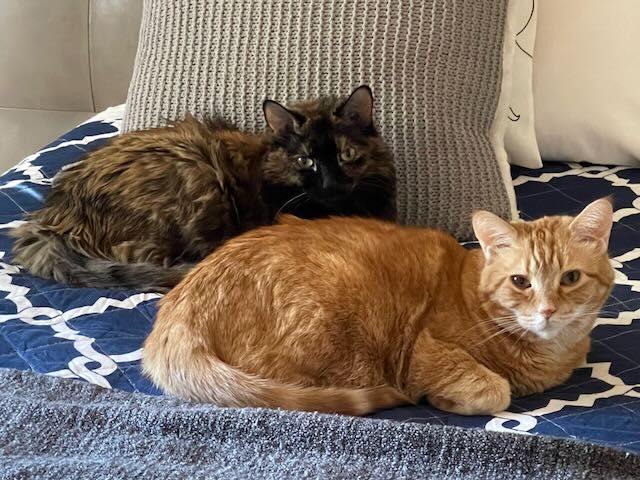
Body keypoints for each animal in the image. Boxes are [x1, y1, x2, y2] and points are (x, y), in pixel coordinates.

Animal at [142, 199, 612, 416]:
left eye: (570, 278)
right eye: (520, 282)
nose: (547, 311)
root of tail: (176, 310)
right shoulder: (423, 353)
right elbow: (494, 390)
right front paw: (448, 400)